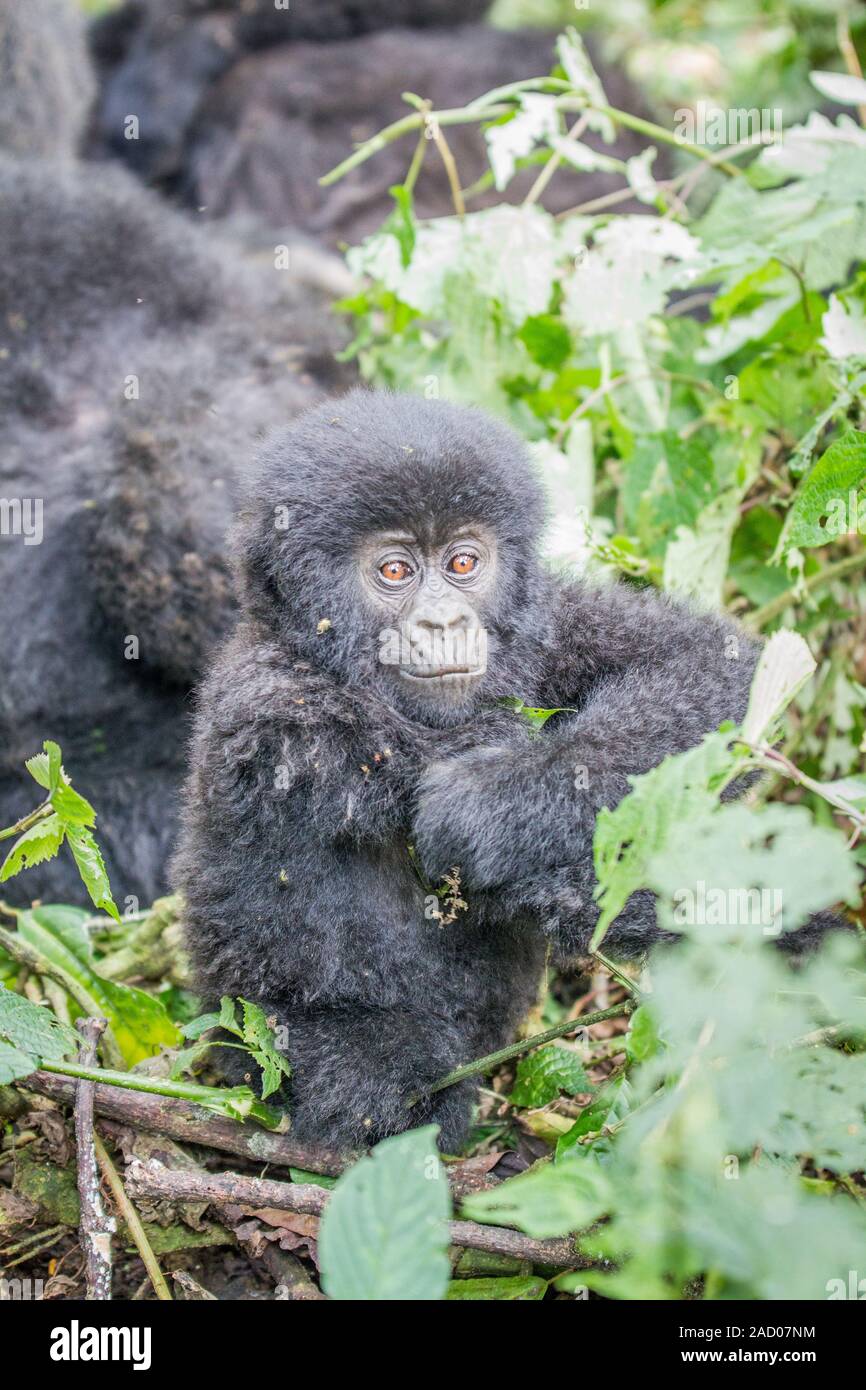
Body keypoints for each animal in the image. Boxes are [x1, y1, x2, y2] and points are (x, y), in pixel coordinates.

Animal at [176, 386, 756, 1145]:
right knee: (360, 1080)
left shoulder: (548, 620)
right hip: (245, 1049)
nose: (444, 623)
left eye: (462, 564)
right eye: (395, 571)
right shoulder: (274, 704)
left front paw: (496, 814)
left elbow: (714, 665)